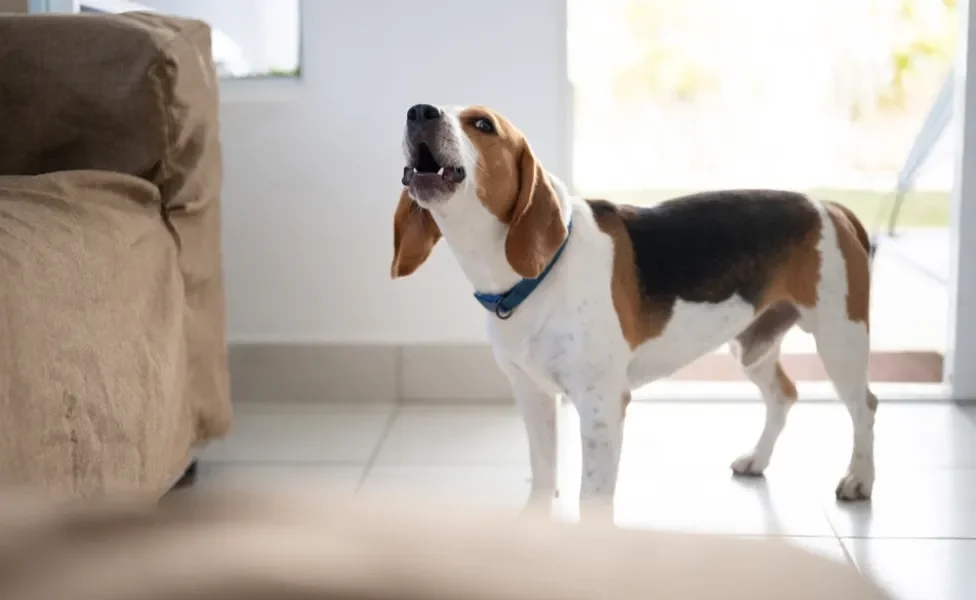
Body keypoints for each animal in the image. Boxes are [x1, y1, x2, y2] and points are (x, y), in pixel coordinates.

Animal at [390, 103, 876, 520]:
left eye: (483, 125)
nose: (418, 111)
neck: (534, 277)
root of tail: (829, 206)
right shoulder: (532, 394)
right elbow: (543, 472)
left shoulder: (601, 405)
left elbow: (593, 498)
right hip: (754, 345)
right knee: (784, 395)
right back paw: (758, 458)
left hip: (840, 339)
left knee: (864, 405)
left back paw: (859, 479)